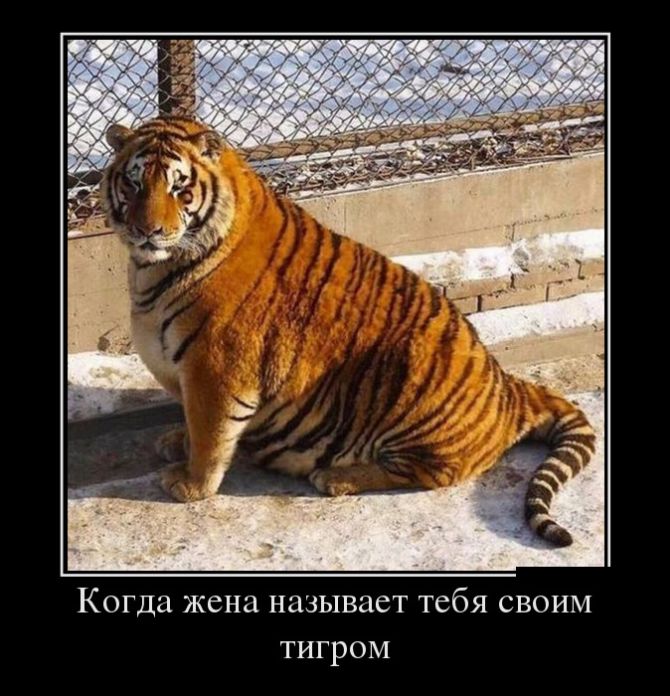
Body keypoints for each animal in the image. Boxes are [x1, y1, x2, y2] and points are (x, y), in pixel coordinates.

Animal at [100, 115, 596, 548]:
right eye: (134, 182)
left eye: (179, 187)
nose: (147, 230)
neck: (152, 270)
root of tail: (508, 387)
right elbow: (190, 420)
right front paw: (176, 442)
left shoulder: (216, 370)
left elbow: (209, 434)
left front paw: (190, 485)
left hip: (413, 376)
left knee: (431, 474)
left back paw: (335, 477)